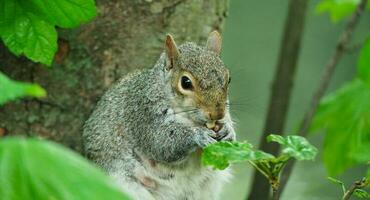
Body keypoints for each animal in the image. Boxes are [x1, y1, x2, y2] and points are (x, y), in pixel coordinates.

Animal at [82, 30, 236, 199]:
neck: (189, 117)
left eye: (229, 78)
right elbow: (159, 142)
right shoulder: (142, 113)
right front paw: (198, 135)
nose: (217, 113)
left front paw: (228, 130)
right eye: (185, 82)